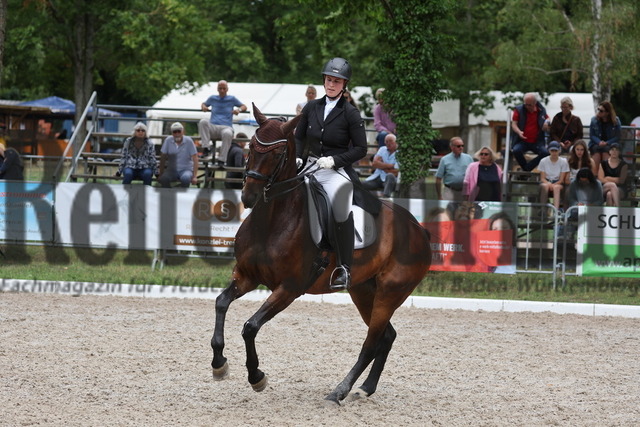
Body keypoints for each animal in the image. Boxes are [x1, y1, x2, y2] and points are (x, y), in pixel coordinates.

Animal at [212, 104, 432, 404]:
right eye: (252, 147)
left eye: (278, 154)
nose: (249, 196)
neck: (273, 220)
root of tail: (418, 229)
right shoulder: (246, 275)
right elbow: (221, 303)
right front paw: (219, 364)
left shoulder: (289, 288)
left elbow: (251, 326)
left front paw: (256, 377)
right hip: (363, 290)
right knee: (386, 336)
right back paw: (365, 388)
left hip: (390, 292)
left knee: (371, 342)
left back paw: (340, 391)